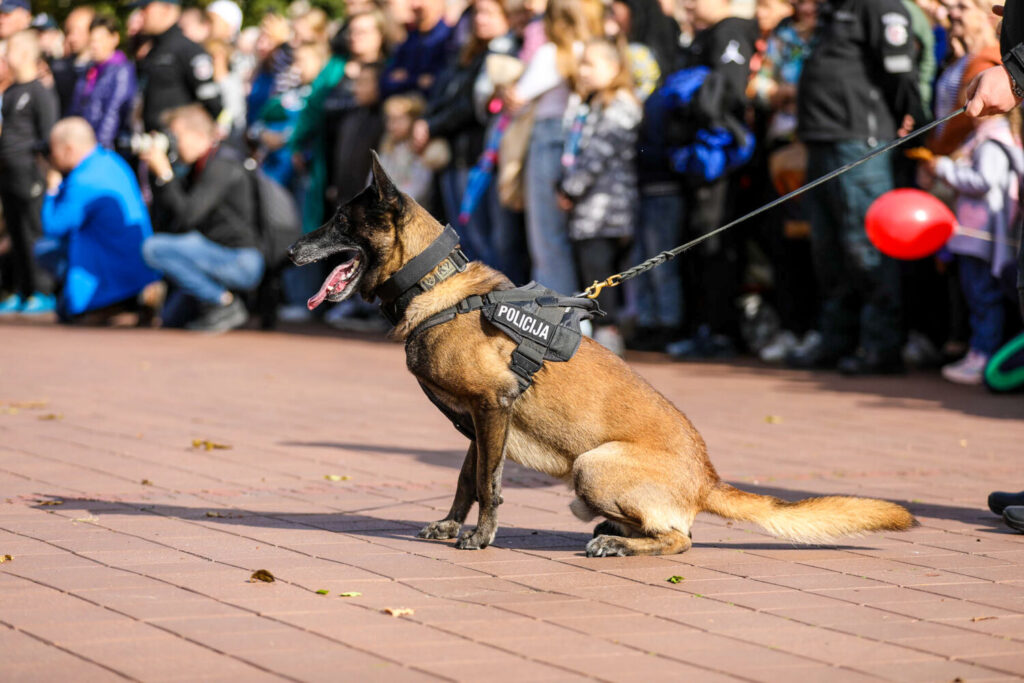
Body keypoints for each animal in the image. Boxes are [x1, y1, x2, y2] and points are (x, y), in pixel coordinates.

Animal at [284, 157, 917, 557]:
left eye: (339, 221)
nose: (289, 250)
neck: (437, 287)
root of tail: (708, 478)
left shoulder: (493, 407)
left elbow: (488, 485)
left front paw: (481, 538)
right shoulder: (479, 424)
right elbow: (467, 480)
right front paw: (449, 526)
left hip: (592, 464)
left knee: (681, 539)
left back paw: (615, 539)